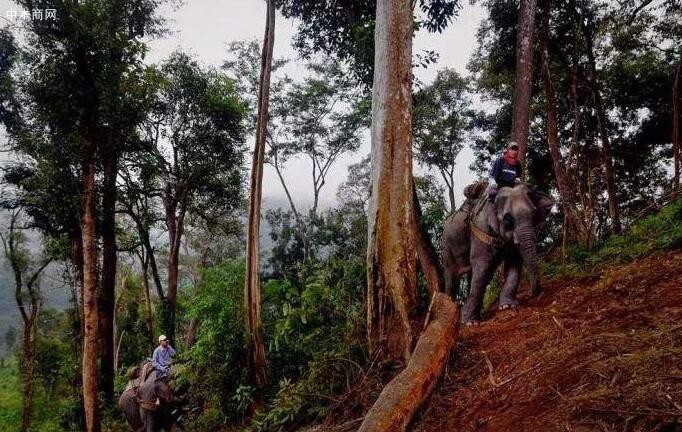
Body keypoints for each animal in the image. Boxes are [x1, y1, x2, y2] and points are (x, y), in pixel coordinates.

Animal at [440, 182, 552, 324]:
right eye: (507, 219)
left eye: (534, 213)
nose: (535, 294)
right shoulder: (481, 230)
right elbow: (482, 267)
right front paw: (470, 322)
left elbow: (513, 263)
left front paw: (507, 306)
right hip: (447, 247)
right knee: (452, 278)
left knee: (471, 275)